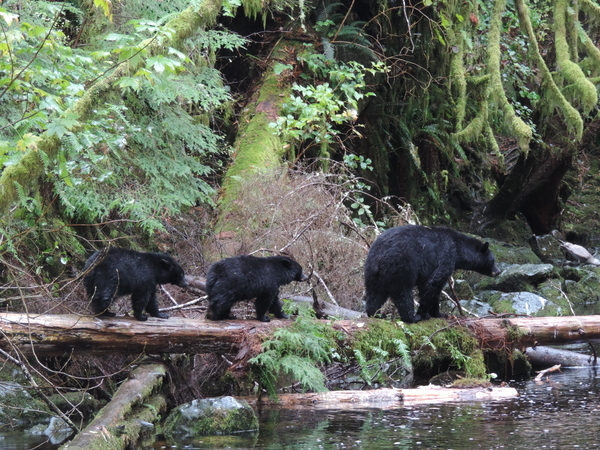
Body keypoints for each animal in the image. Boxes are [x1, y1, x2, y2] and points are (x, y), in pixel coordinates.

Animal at [366, 227, 502, 322]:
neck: (458, 248)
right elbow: (434, 283)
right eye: (492, 260)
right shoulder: (445, 257)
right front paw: (425, 313)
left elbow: (428, 287)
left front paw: (437, 313)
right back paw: (411, 317)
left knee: (374, 293)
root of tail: (380, 256)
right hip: (401, 267)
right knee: (403, 293)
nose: (498, 271)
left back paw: (376, 314)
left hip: (373, 273)